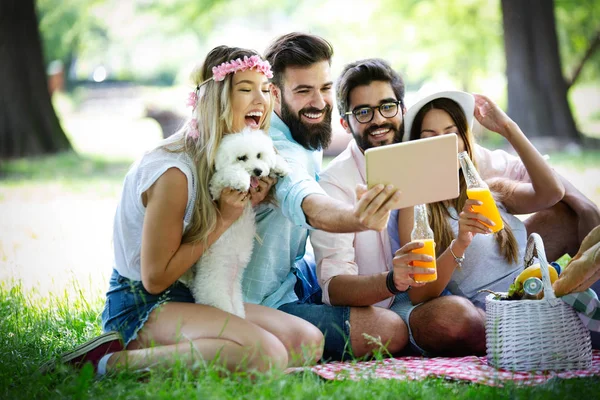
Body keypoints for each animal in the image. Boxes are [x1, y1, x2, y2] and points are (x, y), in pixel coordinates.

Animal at [179, 129, 290, 318]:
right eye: (242, 158)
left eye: (259, 155)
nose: (258, 171)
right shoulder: (216, 187)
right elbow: (230, 173)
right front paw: (241, 180)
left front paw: (280, 166)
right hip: (218, 302)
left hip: (238, 306)